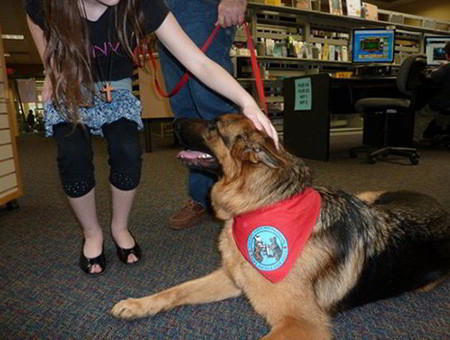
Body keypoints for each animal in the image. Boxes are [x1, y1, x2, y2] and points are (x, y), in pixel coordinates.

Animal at [111, 113, 450, 338]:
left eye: (213, 126)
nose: (169, 121)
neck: (265, 205)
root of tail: (441, 208)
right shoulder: (233, 278)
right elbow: (177, 289)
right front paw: (138, 304)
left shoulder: (301, 323)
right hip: (366, 196)